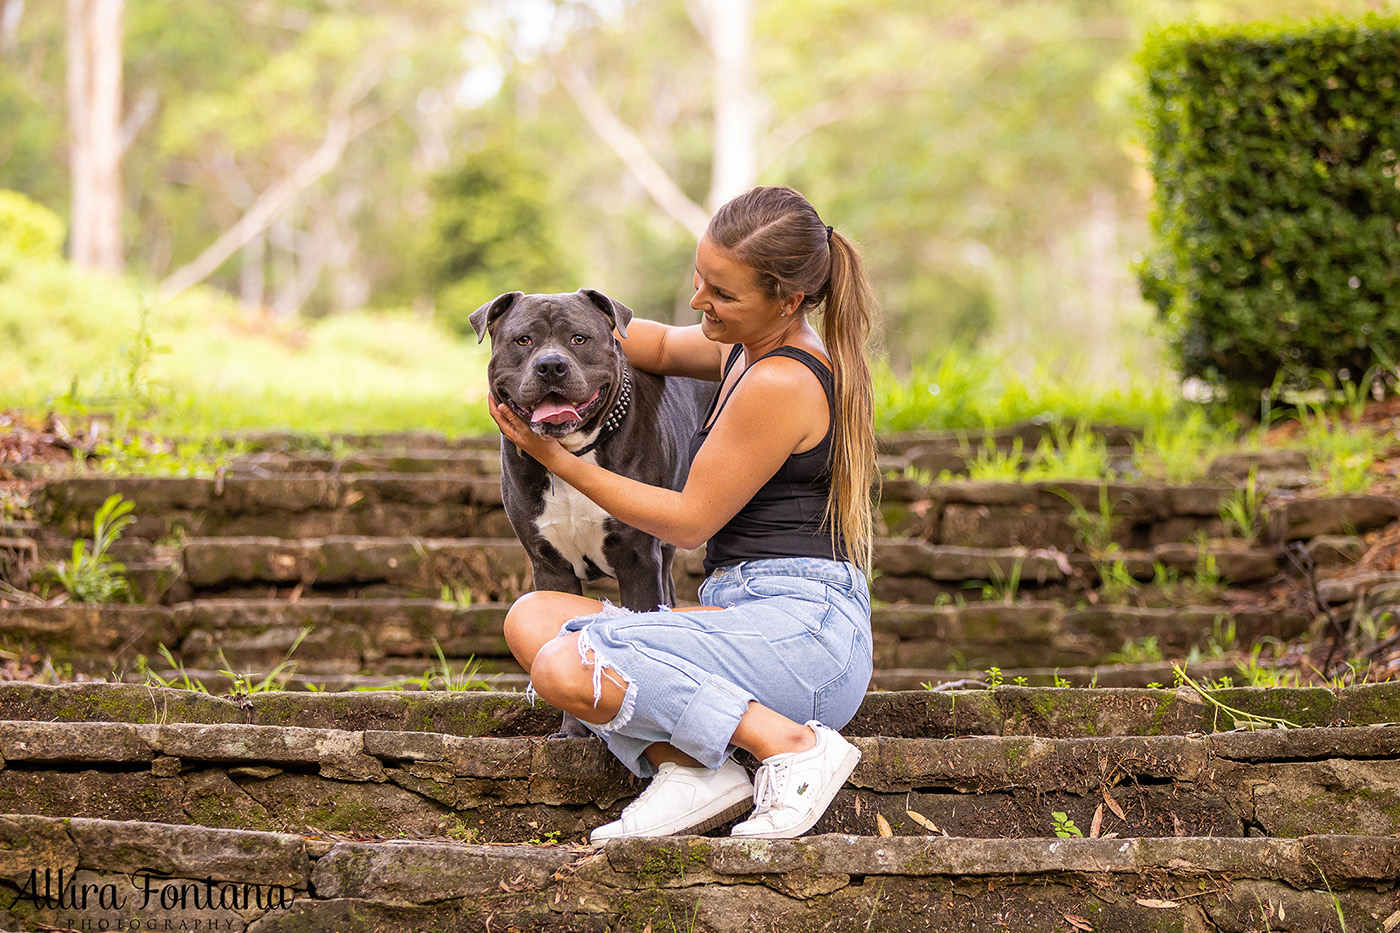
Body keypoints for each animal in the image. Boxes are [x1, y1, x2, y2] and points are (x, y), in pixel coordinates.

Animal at [467, 287, 711, 613]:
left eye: (579, 338)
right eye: (523, 340)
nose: (551, 365)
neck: (574, 452)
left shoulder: (640, 563)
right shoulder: (551, 567)